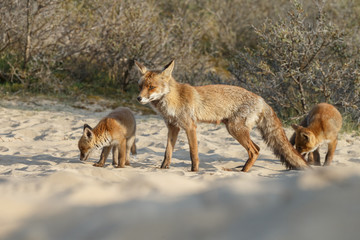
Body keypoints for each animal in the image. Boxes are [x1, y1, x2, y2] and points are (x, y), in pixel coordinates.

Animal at [134, 60, 308, 172]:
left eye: (151, 87)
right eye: (140, 86)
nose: (138, 98)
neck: (173, 99)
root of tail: (262, 99)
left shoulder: (190, 126)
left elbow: (193, 153)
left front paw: (194, 171)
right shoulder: (172, 127)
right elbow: (167, 152)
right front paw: (163, 168)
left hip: (234, 129)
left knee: (255, 150)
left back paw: (242, 172)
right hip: (236, 129)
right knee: (257, 149)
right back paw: (242, 169)